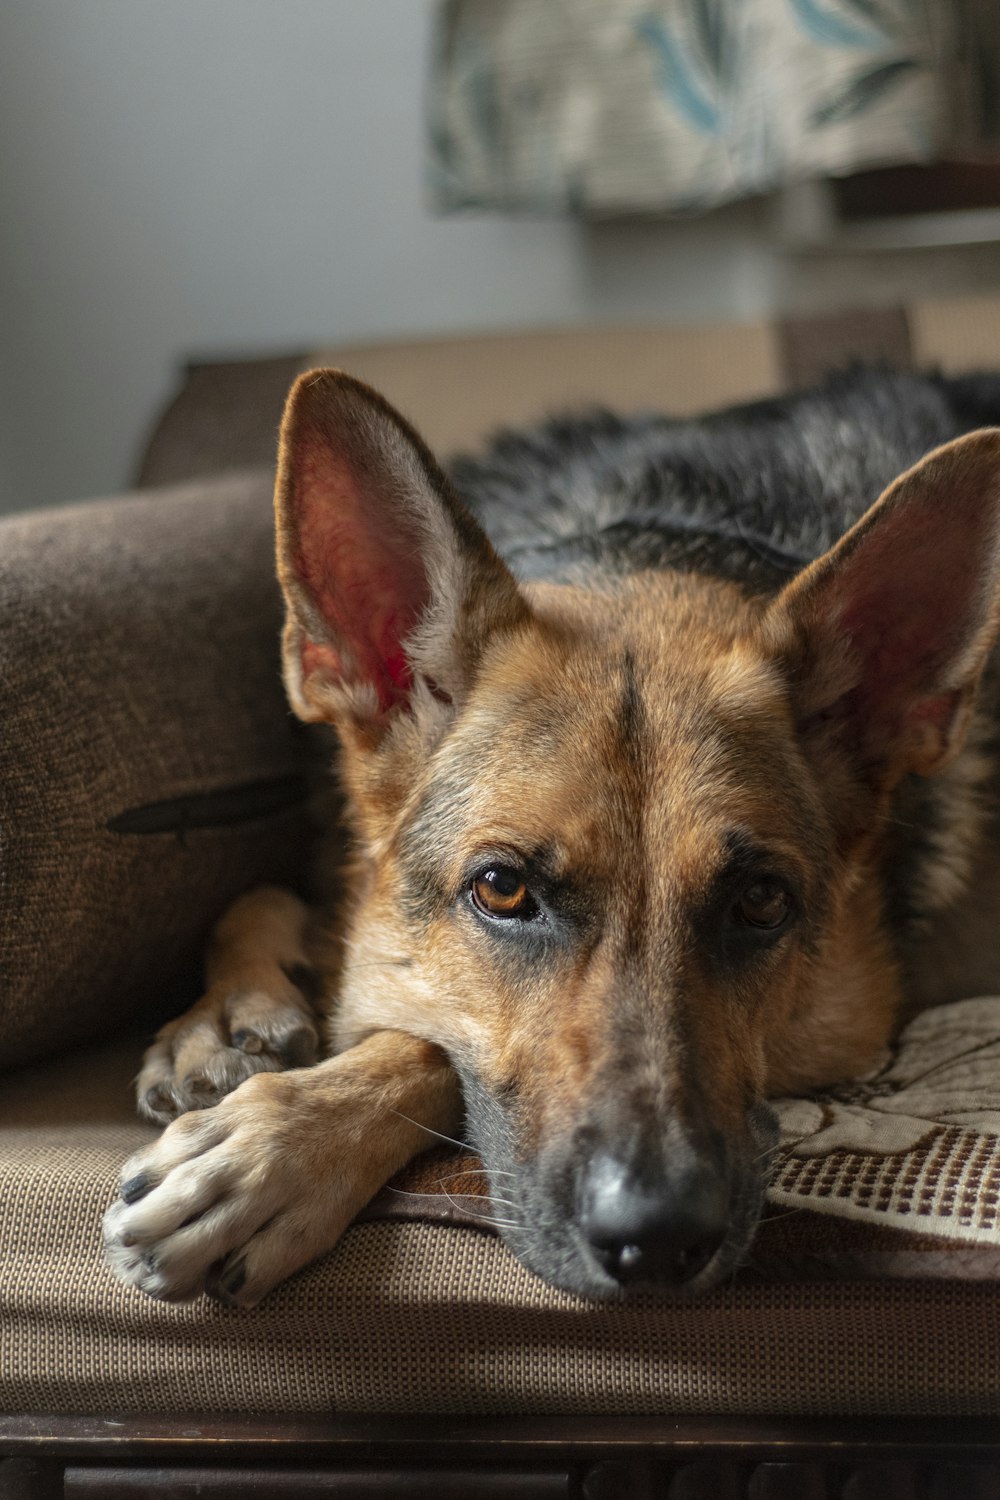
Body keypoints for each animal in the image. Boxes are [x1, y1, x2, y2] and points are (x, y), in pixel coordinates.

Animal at [103, 369, 1000, 1308]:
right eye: (502, 889)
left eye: (761, 902)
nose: (657, 1241)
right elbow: (264, 895)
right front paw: (230, 1016)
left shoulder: (858, 1017)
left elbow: (426, 1044)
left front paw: (277, 1151)